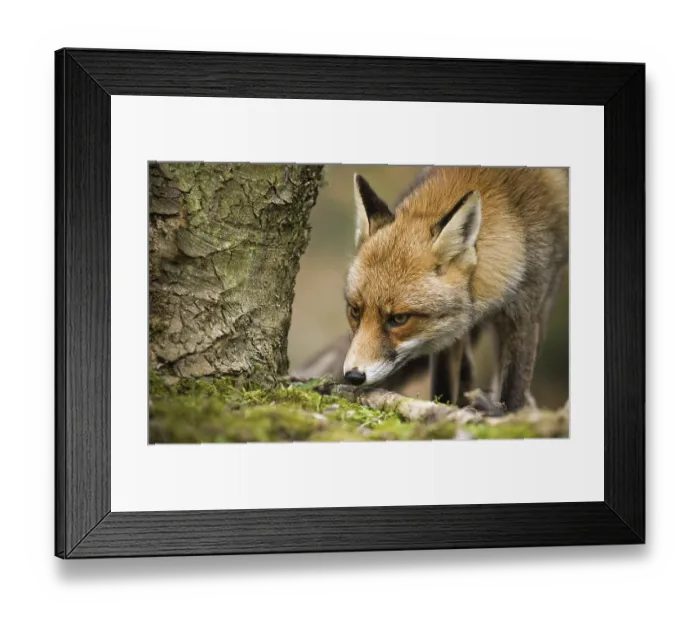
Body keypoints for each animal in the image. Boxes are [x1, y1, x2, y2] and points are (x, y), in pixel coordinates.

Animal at [342, 166, 569, 413]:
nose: (353, 376)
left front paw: (508, 414)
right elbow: (444, 385)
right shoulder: (445, 333)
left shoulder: (525, 312)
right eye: (355, 311)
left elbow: (514, 391)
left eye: (399, 318)